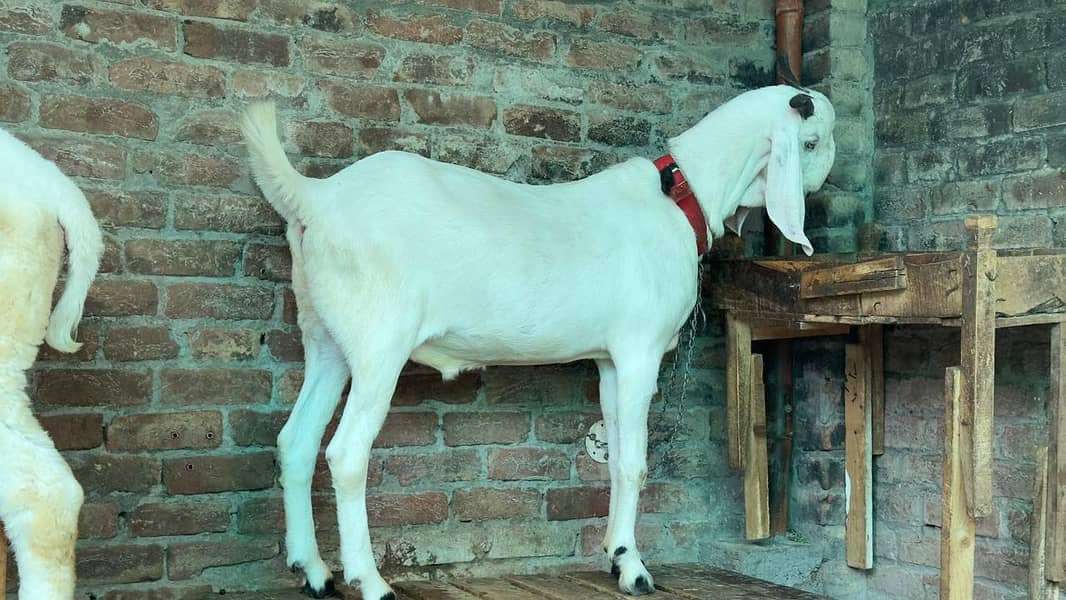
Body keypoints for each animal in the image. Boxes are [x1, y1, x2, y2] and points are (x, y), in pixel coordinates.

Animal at [240, 84, 836, 599]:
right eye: (812, 141)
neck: (679, 198)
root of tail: (316, 199)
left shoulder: (609, 359)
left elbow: (616, 456)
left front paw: (615, 553)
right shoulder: (639, 350)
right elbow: (636, 462)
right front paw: (636, 570)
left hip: (326, 339)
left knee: (295, 441)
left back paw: (313, 572)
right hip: (378, 343)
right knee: (345, 454)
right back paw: (371, 582)